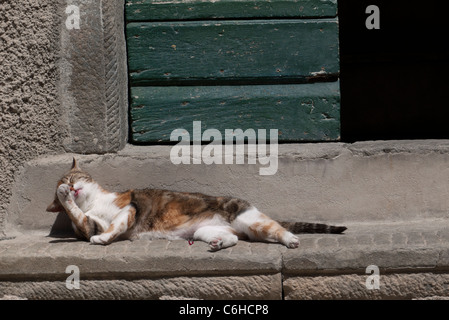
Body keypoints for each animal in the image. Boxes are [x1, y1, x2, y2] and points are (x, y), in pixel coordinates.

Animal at [46, 159, 346, 251]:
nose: (70, 187)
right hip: (205, 231)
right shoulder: (89, 224)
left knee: (276, 229)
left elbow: (115, 225)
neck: (93, 203)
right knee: (234, 239)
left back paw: (291, 239)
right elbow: (81, 218)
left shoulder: (128, 207)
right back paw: (220, 244)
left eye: (72, 177)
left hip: (249, 219)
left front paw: (104, 239)